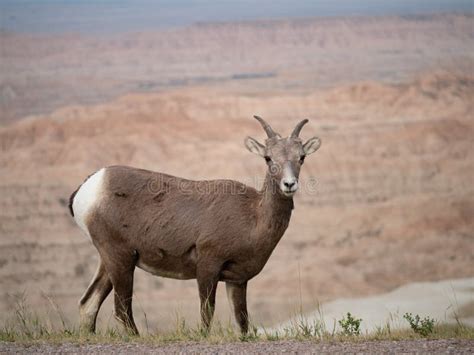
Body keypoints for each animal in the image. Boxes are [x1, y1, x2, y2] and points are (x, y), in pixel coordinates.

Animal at [69, 115, 322, 336]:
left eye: (301, 157)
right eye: (268, 158)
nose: (289, 184)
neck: (253, 217)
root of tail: (89, 187)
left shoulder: (237, 281)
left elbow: (242, 322)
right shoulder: (208, 268)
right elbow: (207, 314)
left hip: (108, 261)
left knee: (88, 303)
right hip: (120, 259)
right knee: (121, 309)